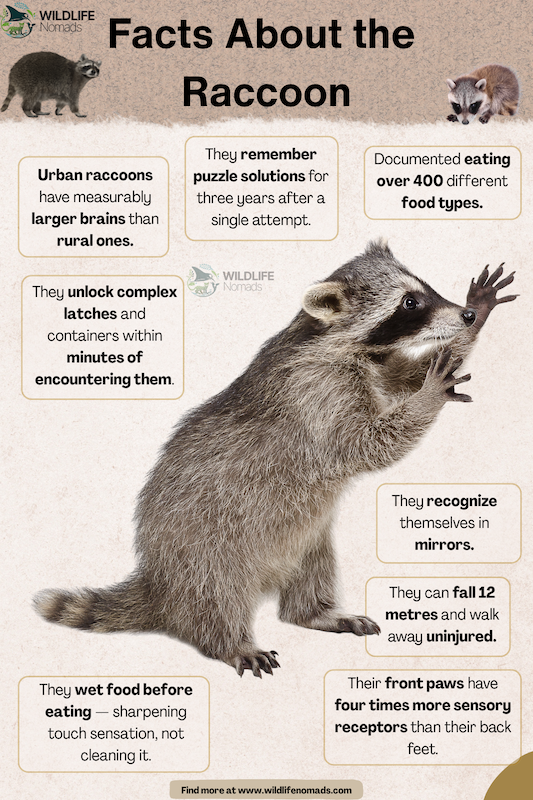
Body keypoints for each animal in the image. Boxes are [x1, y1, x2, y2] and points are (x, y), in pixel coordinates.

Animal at [34, 242, 516, 677]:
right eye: (409, 302)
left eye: (425, 289)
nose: (464, 315)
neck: (331, 340)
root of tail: (160, 580)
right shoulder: (316, 392)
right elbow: (364, 444)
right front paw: (430, 394)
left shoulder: (375, 367)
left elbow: (403, 377)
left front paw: (471, 325)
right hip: (206, 544)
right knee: (216, 596)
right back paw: (231, 641)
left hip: (306, 536)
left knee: (313, 569)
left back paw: (315, 611)